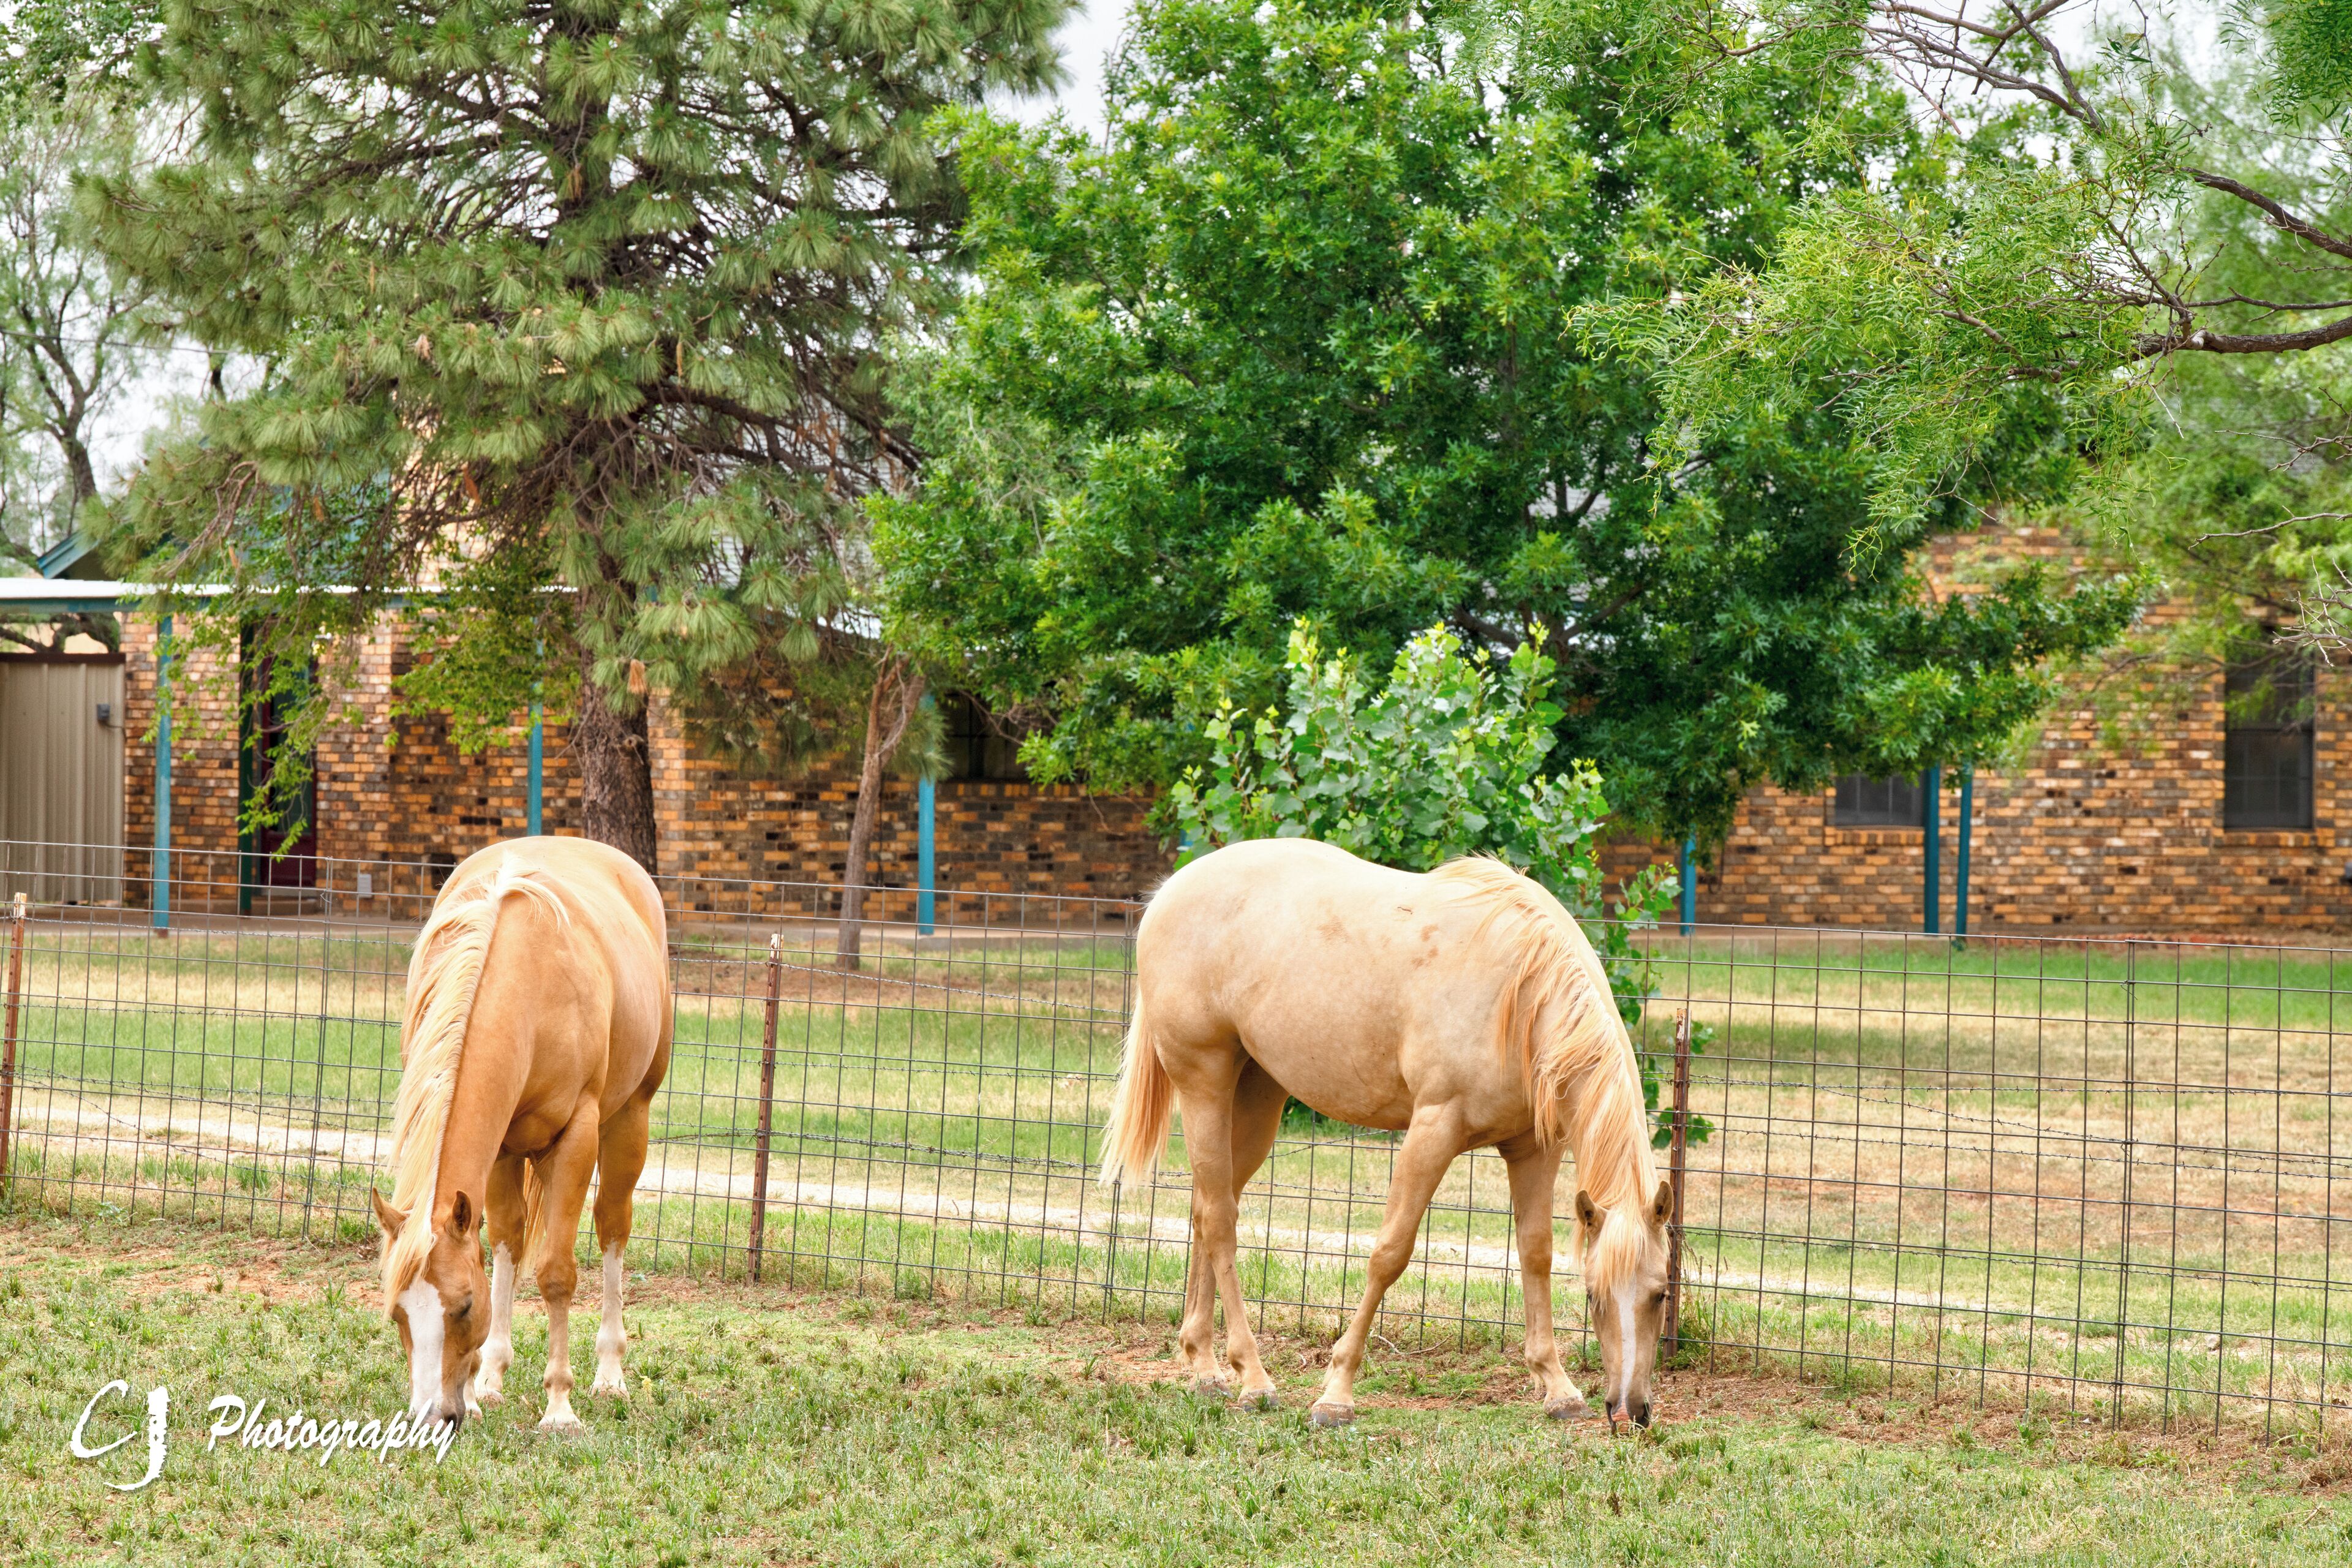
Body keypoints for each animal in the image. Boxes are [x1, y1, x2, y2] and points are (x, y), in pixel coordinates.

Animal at [369, 836, 672, 1434]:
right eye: (397, 1313)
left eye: (464, 1306)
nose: (431, 1417)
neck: (521, 979)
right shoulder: (499, 1148)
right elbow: (502, 1247)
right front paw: (481, 1389)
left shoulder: (577, 1138)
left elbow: (557, 1273)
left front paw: (560, 1407)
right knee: (512, 1237)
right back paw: (493, 1378)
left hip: (629, 1121)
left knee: (612, 1227)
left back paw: (610, 1376)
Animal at [1099, 838, 1673, 1429]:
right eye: (1595, 1296)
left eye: (1660, 1295)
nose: (1630, 1411)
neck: (1522, 992)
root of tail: (1168, 894)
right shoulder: (1434, 1130)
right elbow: (1390, 1253)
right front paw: (1336, 1393)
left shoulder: (1534, 1148)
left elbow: (1535, 1253)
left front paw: (1557, 1387)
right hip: (1204, 1084)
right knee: (1218, 1219)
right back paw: (1253, 1378)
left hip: (1256, 1096)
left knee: (1208, 1206)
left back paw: (1206, 1366)